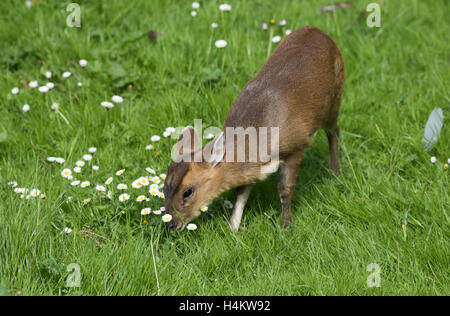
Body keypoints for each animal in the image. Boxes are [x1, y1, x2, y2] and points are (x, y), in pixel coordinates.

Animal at [162, 24, 344, 231]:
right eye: (164, 187)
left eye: (188, 192)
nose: (170, 223)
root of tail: (318, 30)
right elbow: (241, 193)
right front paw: (233, 227)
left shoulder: (297, 145)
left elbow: (284, 190)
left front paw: (286, 226)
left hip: (334, 99)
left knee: (334, 131)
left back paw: (335, 173)